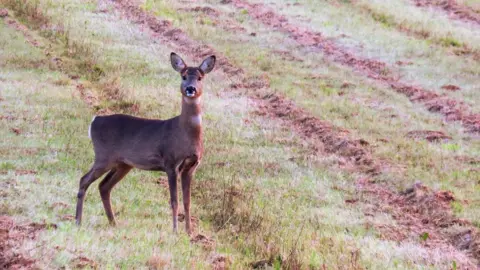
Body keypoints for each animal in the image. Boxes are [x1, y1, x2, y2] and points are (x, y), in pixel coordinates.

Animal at [75, 52, 216, 234]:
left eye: (200, 77)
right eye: (183, 76)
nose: (190, 89)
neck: (186, 135)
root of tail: (95, 120)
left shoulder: (191, 167)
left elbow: (187, 201)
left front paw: (189, 232)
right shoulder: (171, 162)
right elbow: (174, 201)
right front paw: (175, 231)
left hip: (123, 164)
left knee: (104, 186)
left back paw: (113, 223)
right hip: (103, 156)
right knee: (84, 179)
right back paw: (78, 221)